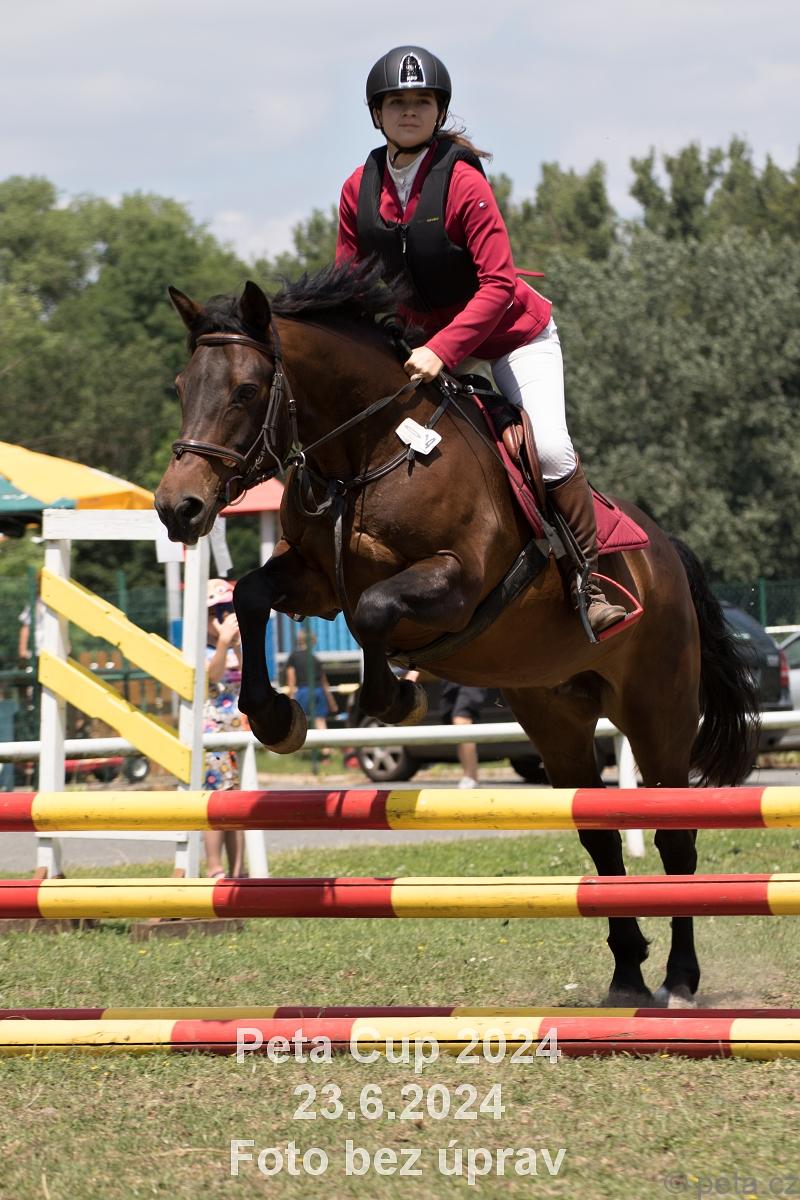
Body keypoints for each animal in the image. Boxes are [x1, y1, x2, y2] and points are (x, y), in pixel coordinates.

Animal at [155, 261, 759, 1007]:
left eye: (244, 389)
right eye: (182, 387)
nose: (178, 508)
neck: (368, 451)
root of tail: (668, 551)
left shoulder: (459, 581)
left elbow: (373, 611)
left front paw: (394, 698)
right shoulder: (313, 578)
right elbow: (252, 594)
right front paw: (274, 716)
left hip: (658, 709)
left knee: (676, 833)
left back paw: (679, 978)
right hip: (556, 716)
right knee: (599, 833)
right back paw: (626, 977)